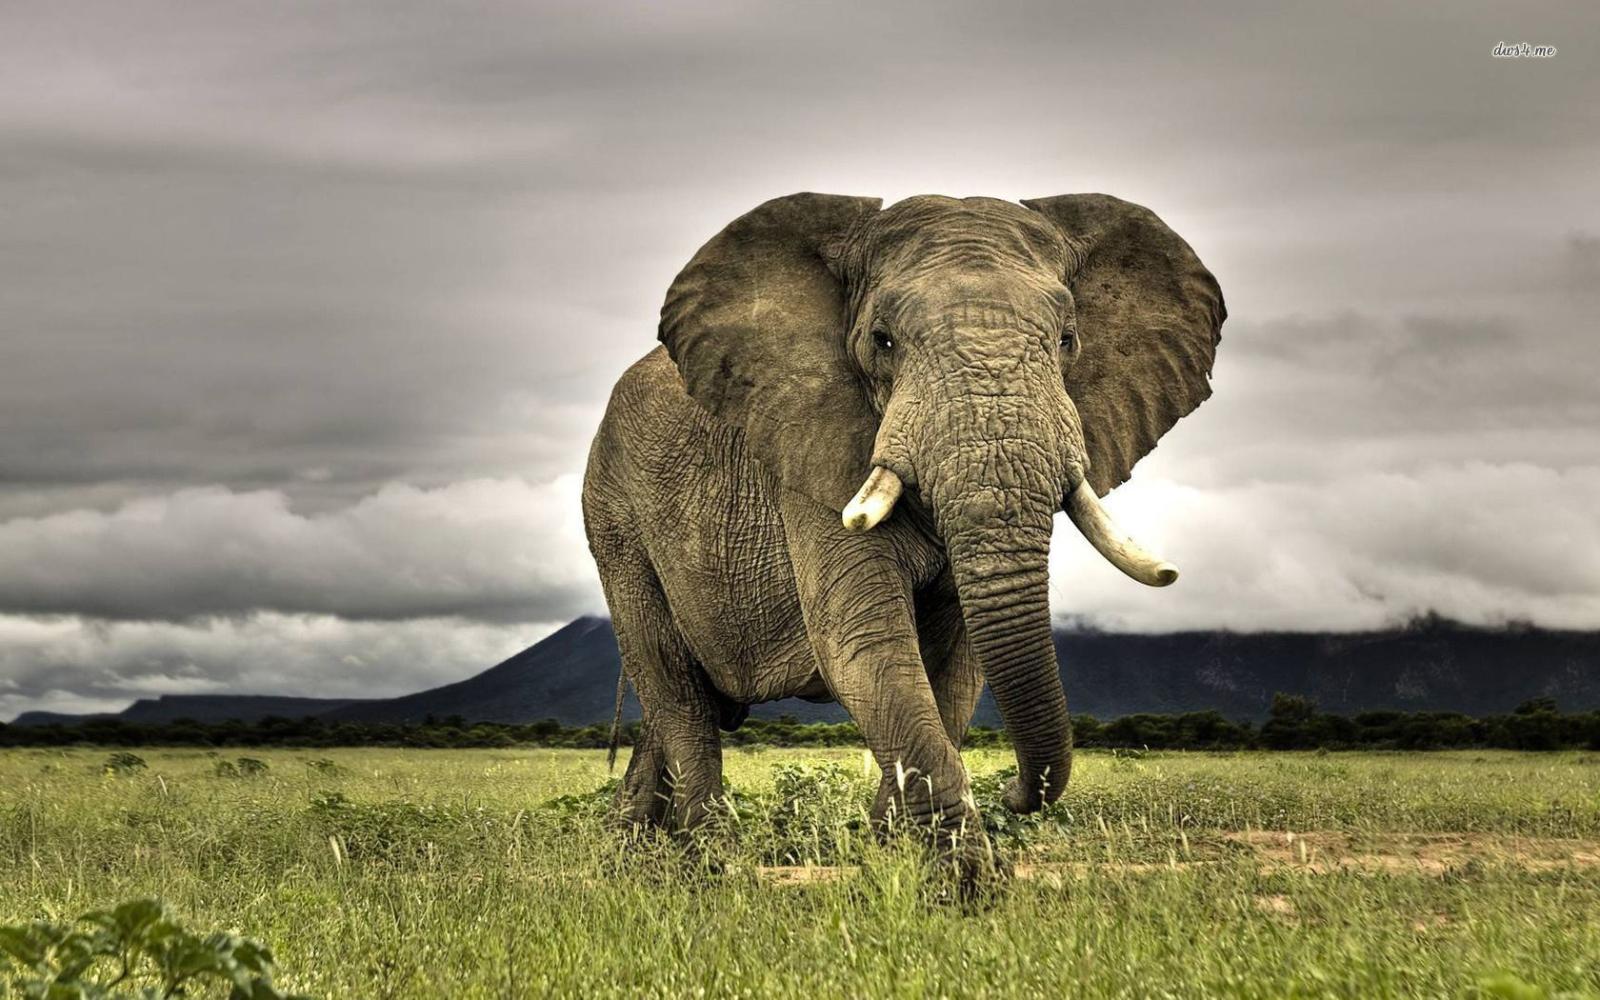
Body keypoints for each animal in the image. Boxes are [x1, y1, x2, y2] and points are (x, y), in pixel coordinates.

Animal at [582, 192, 1224, 859]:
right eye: (882, 341)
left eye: (1068, 340)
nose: (1014, 795)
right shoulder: (811, 454)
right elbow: (866, 644)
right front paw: (960, 876)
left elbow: (955, 671)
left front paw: (890, 852)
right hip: (615, 518)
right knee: (676, 692)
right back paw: (711, 860)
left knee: (680, 709)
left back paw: (637, 850)